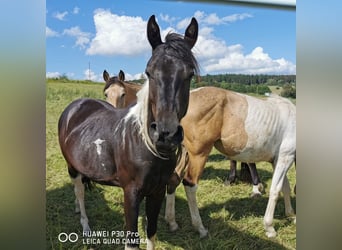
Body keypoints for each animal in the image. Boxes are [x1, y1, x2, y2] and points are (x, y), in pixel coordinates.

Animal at [57, 15, 199, 250]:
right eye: (149, 72)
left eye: (190, 74)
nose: (166, 136)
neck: (144, 145)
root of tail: (75, 106)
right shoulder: (131, 194)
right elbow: (132, 240)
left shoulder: (157, 191)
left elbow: (151, 232)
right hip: (71, 167)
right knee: (79, 191)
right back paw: (85, 225)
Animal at [164, 86, 296, 238]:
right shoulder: (285, 157)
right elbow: (275, 190)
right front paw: (270, 227)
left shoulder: (278, 160)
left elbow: (285, 187)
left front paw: (291, 215)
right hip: (198, 154)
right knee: (190, 185)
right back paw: (200, 228)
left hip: (184, 151)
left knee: (173, 179)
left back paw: (172, 222)